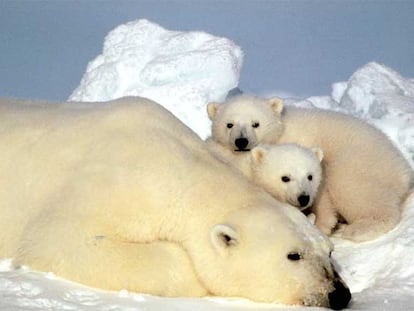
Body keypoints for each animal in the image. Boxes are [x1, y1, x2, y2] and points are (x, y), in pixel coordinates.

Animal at [209, 96, 412, 243]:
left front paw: (322, 224)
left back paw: (358, 229)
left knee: (352, 187)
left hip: (360, 161)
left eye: (255, 123)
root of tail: (403, 169)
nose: (241, 141)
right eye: (229, 124)